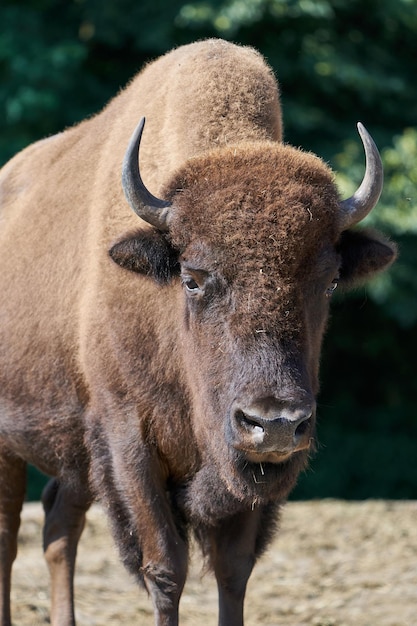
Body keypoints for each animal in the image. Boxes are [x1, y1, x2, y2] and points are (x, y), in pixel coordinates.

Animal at [0, 39, 396, 624]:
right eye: (191, 278)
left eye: (329, 282)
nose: (273, 423)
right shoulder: (130, 443)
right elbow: (166, 567)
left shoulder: (249, 477)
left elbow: (233, 570)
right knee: (10, 536)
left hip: (74, 455)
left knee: (58, 528)